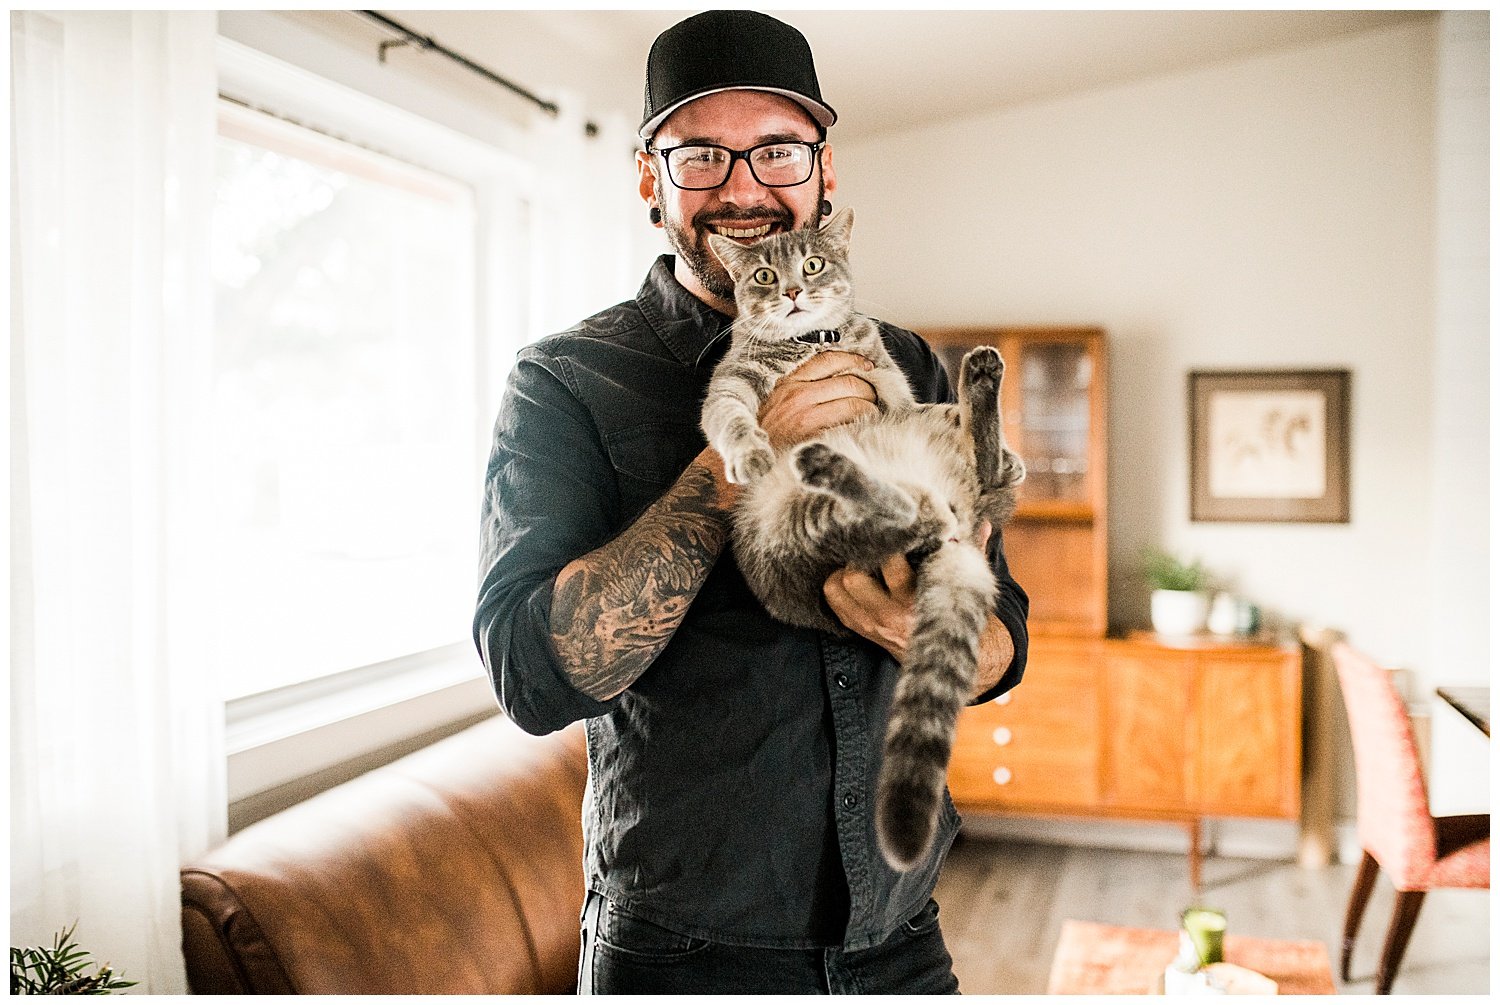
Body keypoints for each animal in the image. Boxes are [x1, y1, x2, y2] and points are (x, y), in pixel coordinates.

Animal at [702, 208, 1020, 870]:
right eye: (764, 274)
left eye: (814, 264)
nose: (792, 293)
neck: (811, 342)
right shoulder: (730, 384)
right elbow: (730, 417)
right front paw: (748, 452)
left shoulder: (895, 390)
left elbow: (905, 396)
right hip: (801, 527)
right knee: (917, 513)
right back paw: (831, 462)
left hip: (936, 464)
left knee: (993, 468)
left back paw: (977, 383)